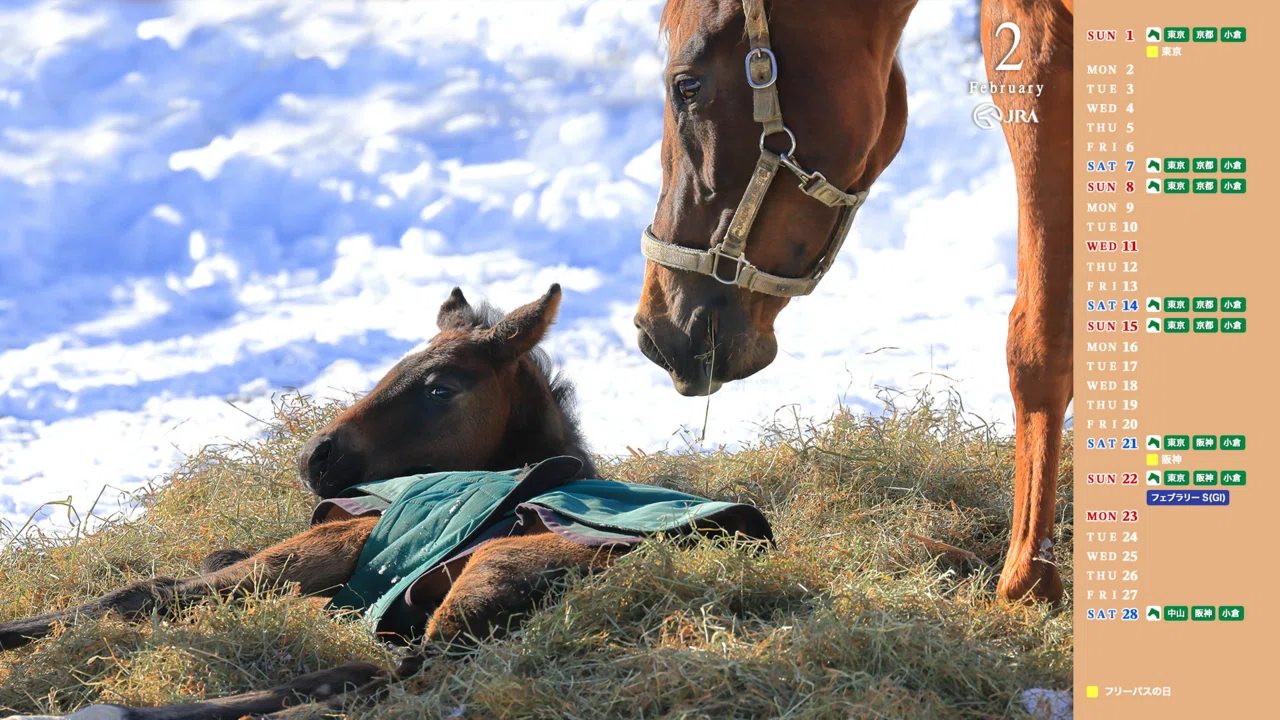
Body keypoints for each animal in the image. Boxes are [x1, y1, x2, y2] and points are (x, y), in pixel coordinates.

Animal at [0, 286, 769, 720]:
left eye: (439, 387)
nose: (316, 457)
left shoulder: (340, 541)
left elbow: (145, 592)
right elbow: (206, 566)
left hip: (484, 579)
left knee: (385, 681)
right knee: (364, 675)